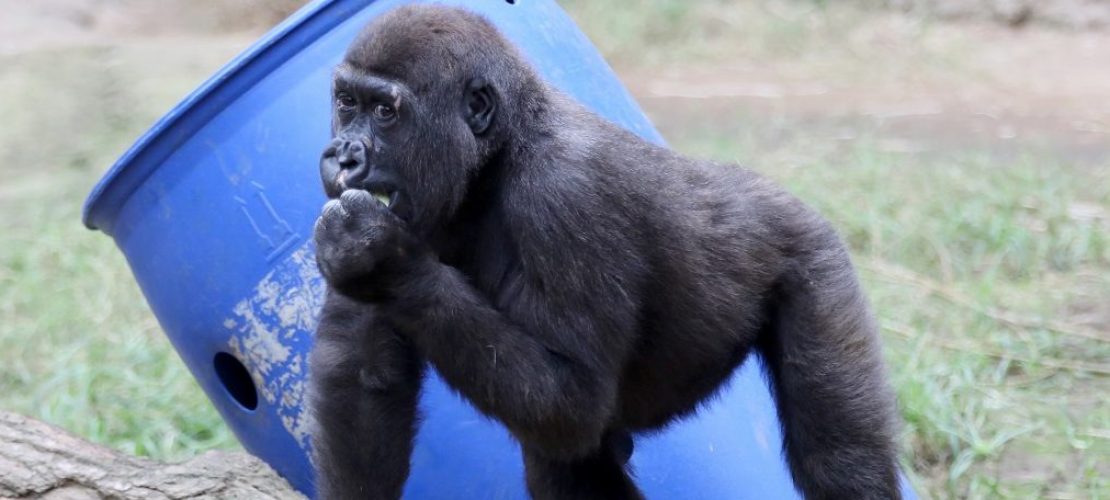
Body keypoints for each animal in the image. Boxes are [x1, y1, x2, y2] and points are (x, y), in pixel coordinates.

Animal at [308, 5, 902, 500]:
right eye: (347, 103)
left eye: (386, 112)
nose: (344, 156)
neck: (499, 151)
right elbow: (362, 373)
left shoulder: (567, 194)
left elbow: (570, 398)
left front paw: (383, 260)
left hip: (817, 263)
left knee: (839, 460)